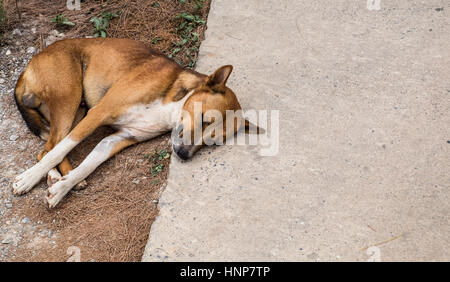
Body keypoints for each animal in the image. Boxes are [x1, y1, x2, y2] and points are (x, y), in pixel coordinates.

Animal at [11, 38, 260, 207]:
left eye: (214, 142)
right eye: (204, 120)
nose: (183, 155)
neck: (172, 106)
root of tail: (28, 66)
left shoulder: (116, 140)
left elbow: (87, 166)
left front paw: (64, 186)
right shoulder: (99, 113)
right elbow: (60, 150)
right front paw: (28, 179)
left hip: (78, 111)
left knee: (47, 147)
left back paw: (59, 177)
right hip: (69, 98)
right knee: (50, 148)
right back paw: (41, 175)